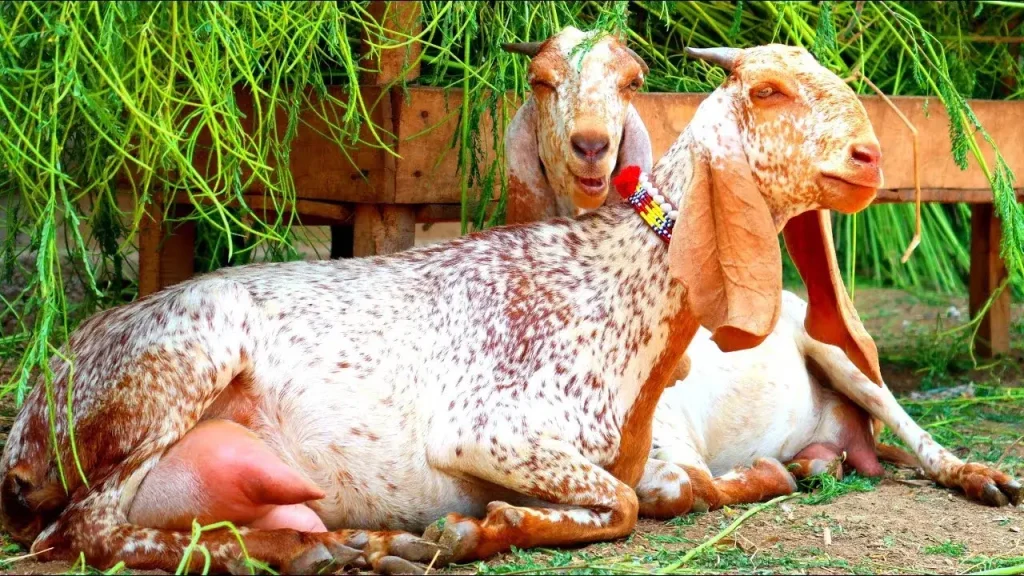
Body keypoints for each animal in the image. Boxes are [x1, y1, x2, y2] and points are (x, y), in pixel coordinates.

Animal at [1, 42, 885, 575]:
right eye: (769, 91)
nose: (871, 155)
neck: (611, 283)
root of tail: (33, 409)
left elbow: (625, 499)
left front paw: (483, 526)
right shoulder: (489, 428)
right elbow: (627, 504)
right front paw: (477, 530)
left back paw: (346, 544)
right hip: (183, 363)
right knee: (84, 531)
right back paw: (304, 550)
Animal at [504, 31, 1022, 516]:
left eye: (633, 83)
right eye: (767, 90)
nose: (869, 157)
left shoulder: (673, 444)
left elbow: (682, 485)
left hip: (840, 356)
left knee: (917, 436)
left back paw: (981, 477)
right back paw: (816, 462)